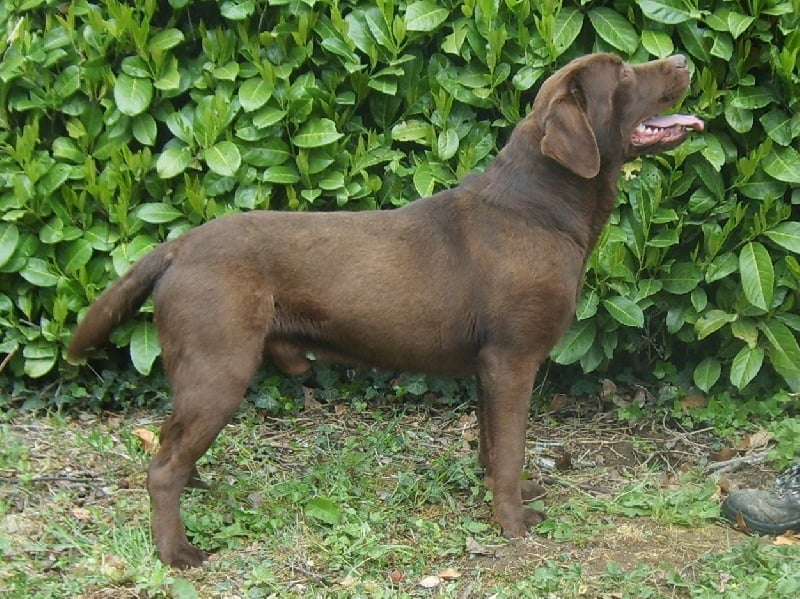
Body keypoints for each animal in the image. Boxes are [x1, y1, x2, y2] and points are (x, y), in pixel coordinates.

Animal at [68, 53, 703, 568]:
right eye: (623, 74)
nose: (681, 58)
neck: (541, 206)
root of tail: (178, 245)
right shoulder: (513, 358)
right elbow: (512, 446)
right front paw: (514, 522)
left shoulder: (487, 366)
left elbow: (491, 443)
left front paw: (511, 495)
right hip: (218, 366)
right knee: (162, 466)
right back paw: (177, 552)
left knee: (172, 442)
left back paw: (199, 489)